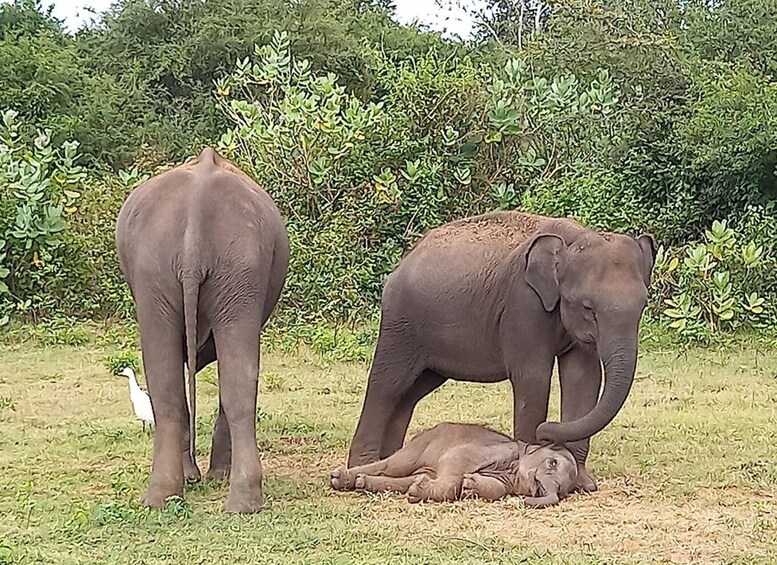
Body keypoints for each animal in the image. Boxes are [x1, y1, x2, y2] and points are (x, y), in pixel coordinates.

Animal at [328, 418, 576, 506]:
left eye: (563, 491)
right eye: (553, 463)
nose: (526, 501)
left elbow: (495, 488)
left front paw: (469, 487)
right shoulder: (488, 450)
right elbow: (457, 460)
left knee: (413, 476)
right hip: (424, 444)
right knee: (394, 465)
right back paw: (340, 478)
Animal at [348, 209, 656, 492]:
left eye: (643, 305)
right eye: (588, 307)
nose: (547, 435)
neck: (574, 237)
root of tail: (404, 260)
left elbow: (584, 379)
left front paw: (582, 482)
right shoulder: (523, 304)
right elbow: (533, 377)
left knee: (411, 392)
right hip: (401, 322)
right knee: (388, 384)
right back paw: (363, 464)